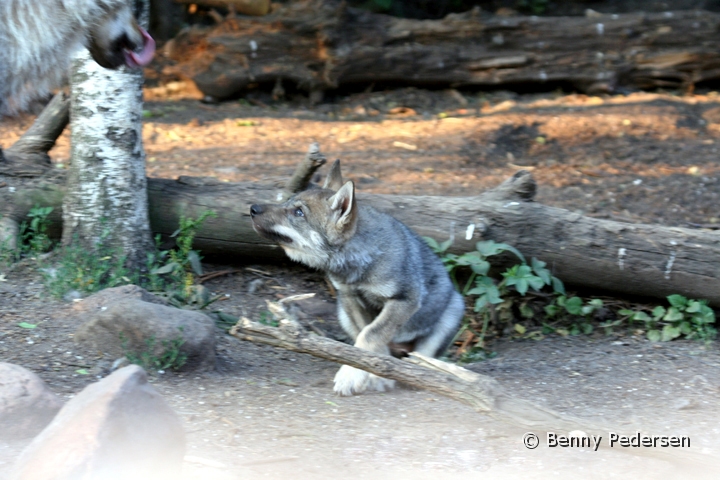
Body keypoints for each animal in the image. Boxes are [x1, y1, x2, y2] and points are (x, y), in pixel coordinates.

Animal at [253, 160, 464, 394]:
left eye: (298, 212)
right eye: (288, 202)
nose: (252, 208)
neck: (361, 261)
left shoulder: (405, 300)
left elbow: (371, 334)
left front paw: (352, 375)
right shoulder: (350, 297)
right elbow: (368, 338)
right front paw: (371, 374)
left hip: (453, 311)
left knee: (422, 359)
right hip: (343, 314)